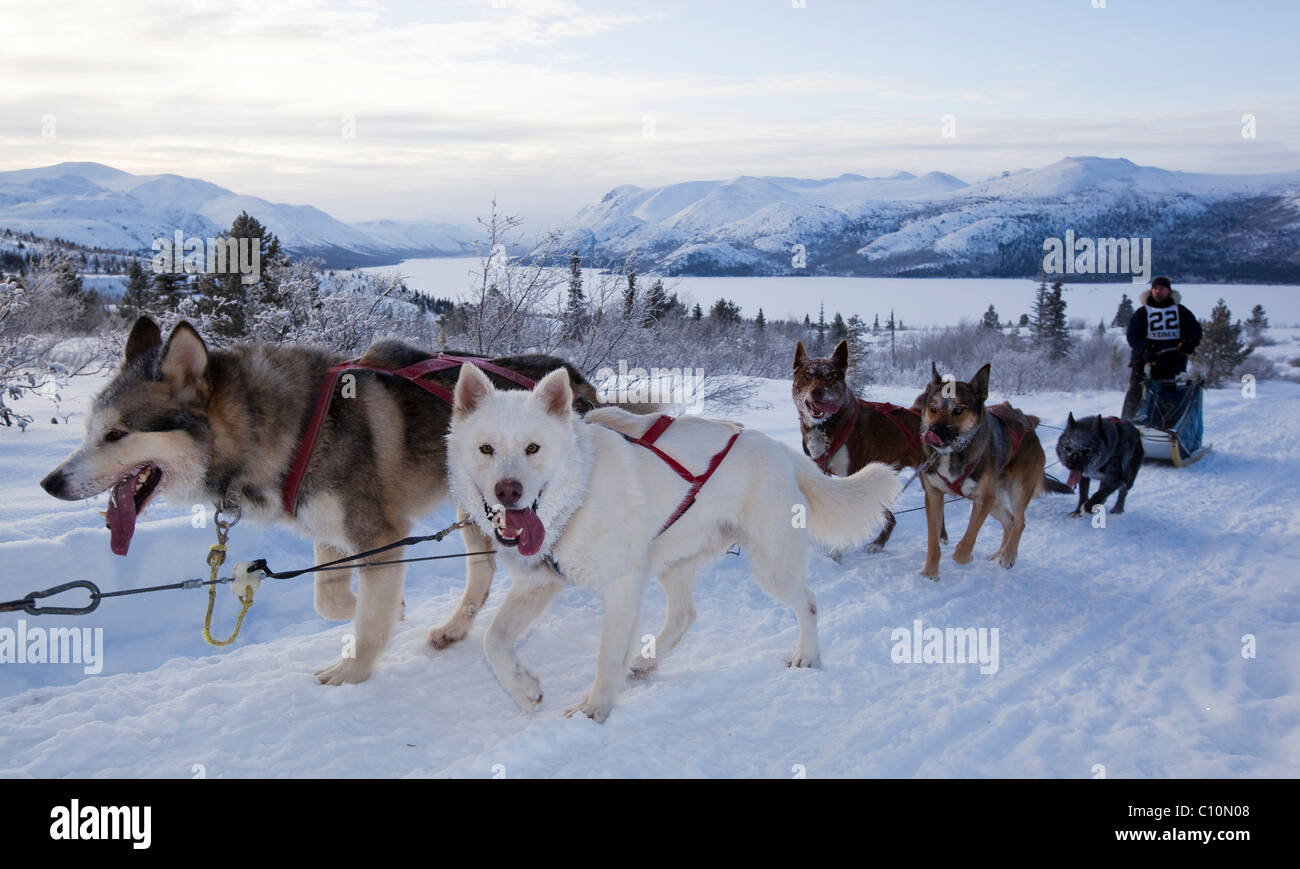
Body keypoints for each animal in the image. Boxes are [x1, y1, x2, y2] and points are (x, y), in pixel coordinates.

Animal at [790, 338, 946, 548]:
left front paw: (837, 550)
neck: (827, 426)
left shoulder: (853, 472)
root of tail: (916, 414)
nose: (817, 391)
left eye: (831, 376)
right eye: (807, 375)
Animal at [915, 364, 1055, 580]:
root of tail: (1028, 425)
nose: (933, 433)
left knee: (1020, 522)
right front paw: (930, 572)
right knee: (1010, 522)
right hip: (996, 501)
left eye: (958, 410)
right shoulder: (934, 495)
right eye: (933, 408)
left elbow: (967, 541)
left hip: (1016, 491)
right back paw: (1000, 553)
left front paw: (964, 556)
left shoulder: (983, 499)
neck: (954, 453)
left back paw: (1008, 556)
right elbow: (933, 542)